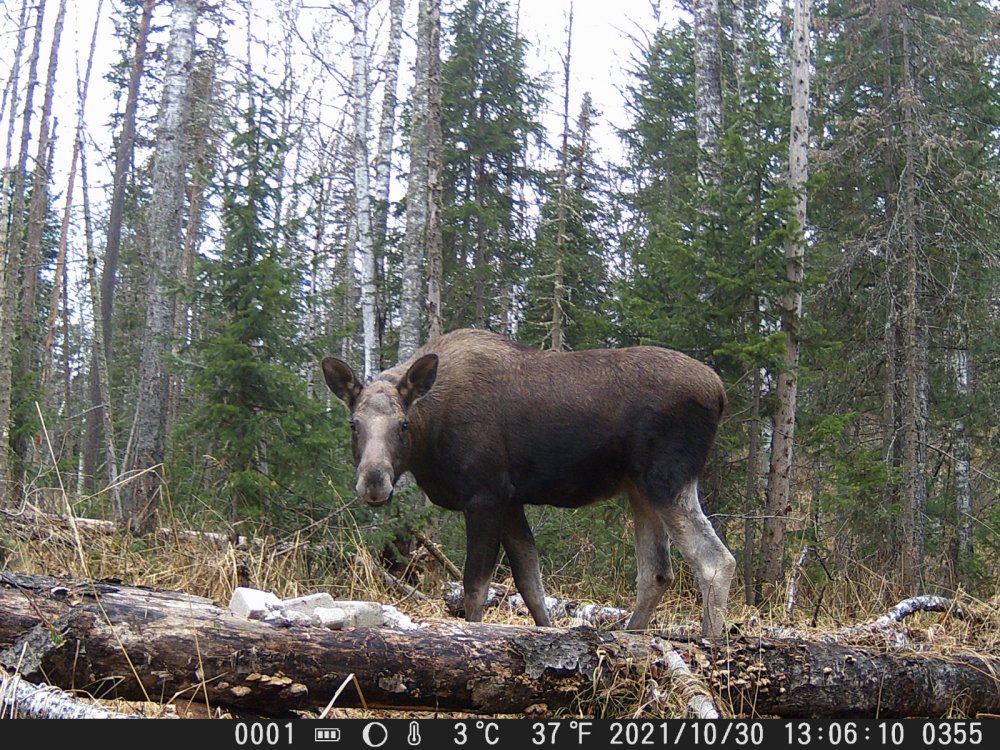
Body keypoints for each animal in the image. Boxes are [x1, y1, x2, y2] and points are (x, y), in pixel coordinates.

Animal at [321, 329, 736, 636]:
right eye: (353, 424)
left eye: (403, 425)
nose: (374, 483)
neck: (430, 438)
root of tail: (720, 392)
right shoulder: (511, 501)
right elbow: (530, 584)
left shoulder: (485, 494)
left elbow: (476, 587)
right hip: (639, 489)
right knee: (657, 571)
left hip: (666, 478)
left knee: (715, 560)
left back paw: (711, 642)